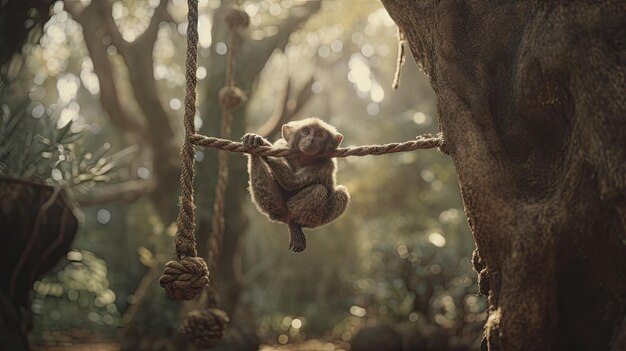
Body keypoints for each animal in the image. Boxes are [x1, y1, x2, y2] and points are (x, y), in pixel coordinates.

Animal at [241, 118, 348, 253]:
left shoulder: (326, 164)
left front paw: (263, 142)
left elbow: (291, 181)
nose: (311, 139)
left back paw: (294, 223)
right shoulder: (282, 145)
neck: (303, 158)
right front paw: (256, 140)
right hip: (275, 205)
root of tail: (284, 217)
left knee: (330, 191)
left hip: (308, 216)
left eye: (319, 135)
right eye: (306, 132)